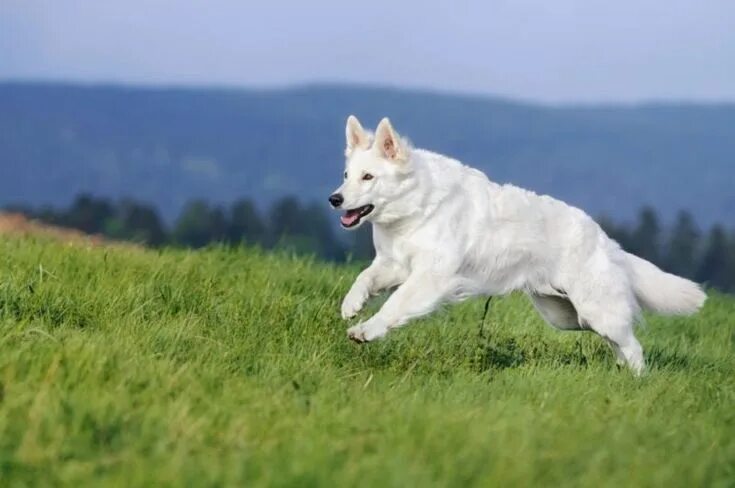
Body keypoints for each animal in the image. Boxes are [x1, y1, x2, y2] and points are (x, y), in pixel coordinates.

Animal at [330, 115, 708, 374]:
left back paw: (638, 381)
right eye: (347, 176)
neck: (417, 206)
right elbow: (365, 278)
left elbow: (394, 305)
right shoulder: (394, 264)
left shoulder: (430, 278)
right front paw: (352, 305)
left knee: (634, 346)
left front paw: (365, 330)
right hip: (566, 316)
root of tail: (607, 241)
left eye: (368, 177)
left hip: (596, 311)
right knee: (619, 342)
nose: (335, 199)